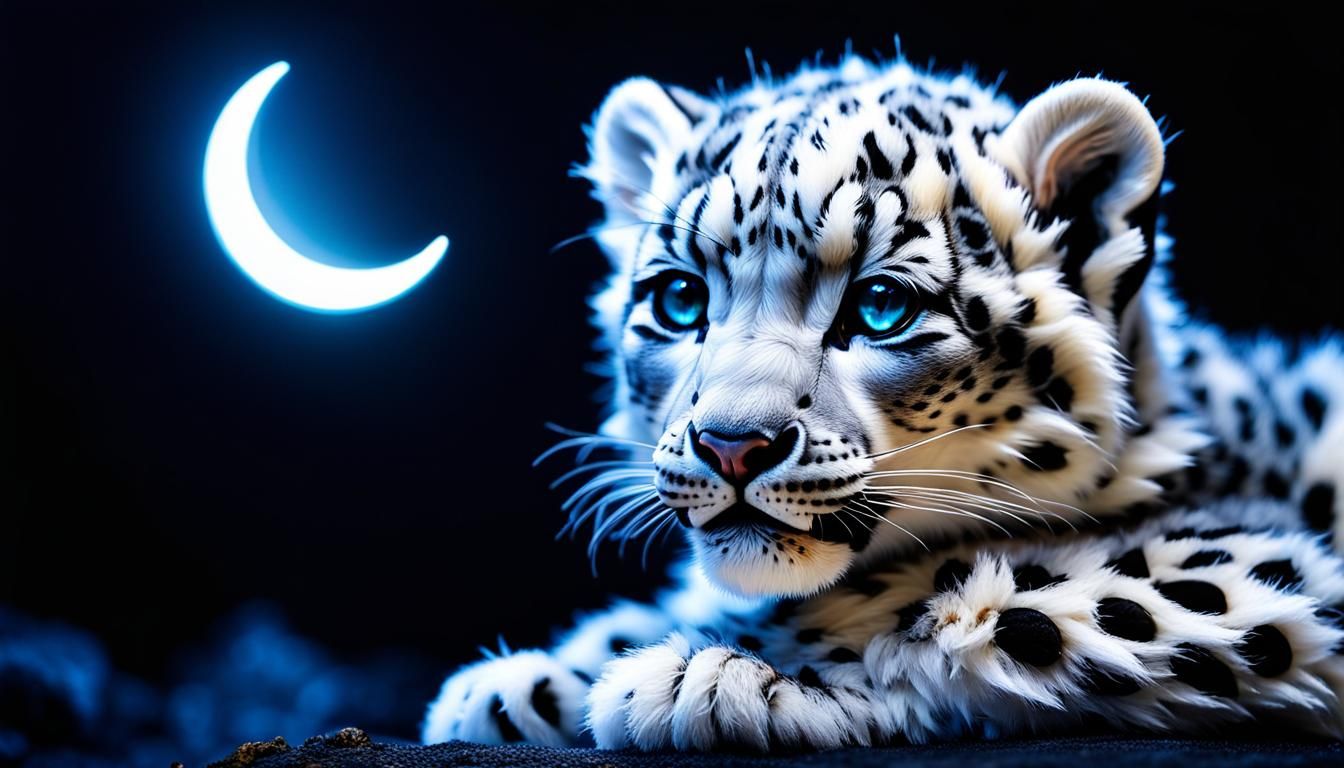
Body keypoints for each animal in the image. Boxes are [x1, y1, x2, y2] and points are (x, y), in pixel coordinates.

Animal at [422, 52, 1344, 751]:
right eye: (679, 299)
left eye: (881, 306)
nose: (731, 444)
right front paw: (531, 683)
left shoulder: (1255, 563)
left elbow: (978, 593)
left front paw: (715, 675)